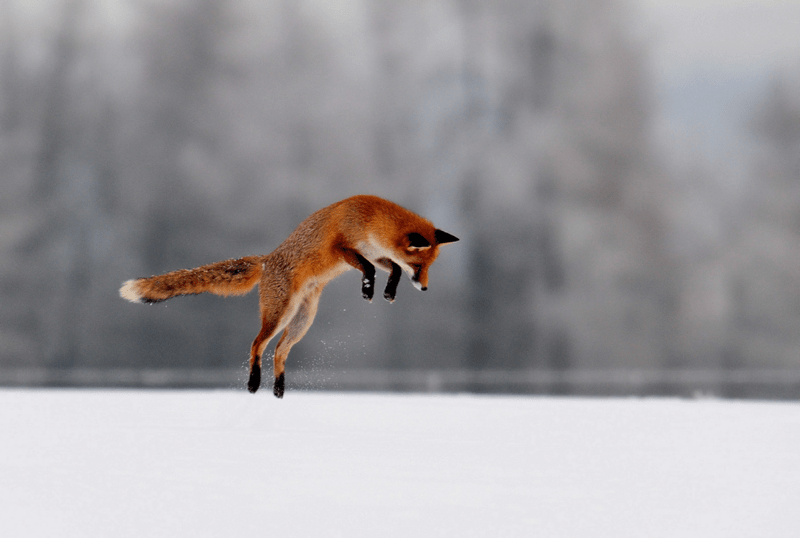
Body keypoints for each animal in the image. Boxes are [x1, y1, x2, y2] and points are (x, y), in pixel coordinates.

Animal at [120, 195, 458, 398]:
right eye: (420, 266)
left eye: (429, 268)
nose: (425, 288)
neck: (371, 219)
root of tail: (267, 259)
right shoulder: (345, 249)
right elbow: (369, 268)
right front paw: (368, 288)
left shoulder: (377, 254)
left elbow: (393, 269)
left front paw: (387, 291)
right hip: (279, 314)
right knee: (257, 344)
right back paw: (254, 383)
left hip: (302, 320)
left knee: (279, 352)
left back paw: (279, 390)